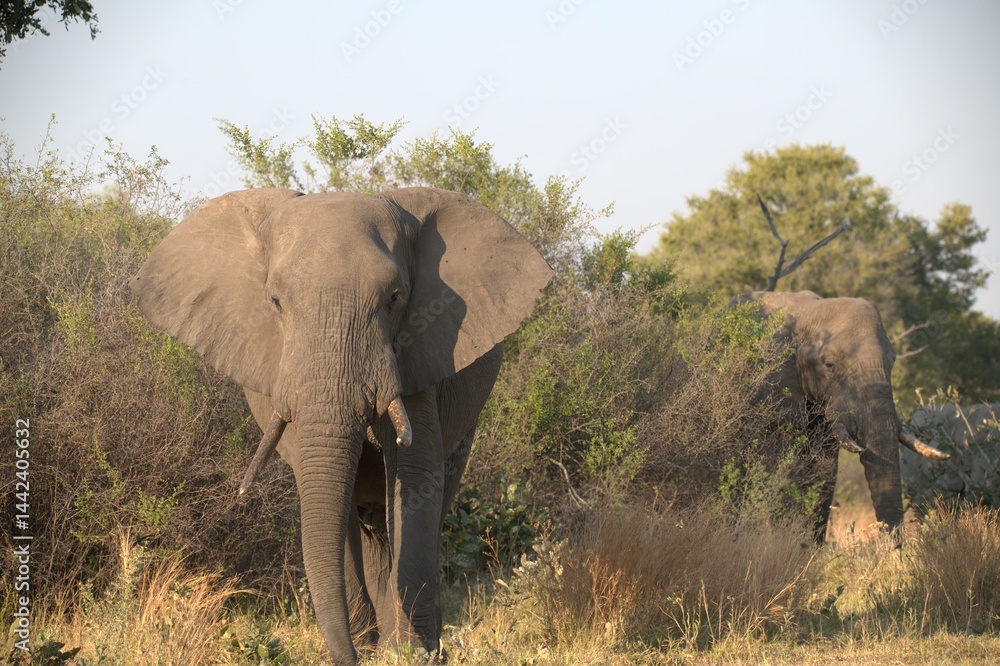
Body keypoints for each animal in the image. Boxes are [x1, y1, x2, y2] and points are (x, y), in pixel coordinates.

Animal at [130, 187, 552, 664]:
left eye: (394, 298)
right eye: (275, 301)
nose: (346, 656)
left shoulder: (420, 352)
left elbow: (415, 477)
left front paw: (412, 652)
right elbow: (326, 483)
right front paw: (371, 650)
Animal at [730, 291, 948, 542]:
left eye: (892, 362)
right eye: (829, 365)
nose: (892, 546)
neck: (808, 313)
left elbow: (825, 473)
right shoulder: (770, 389)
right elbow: (783, 468)